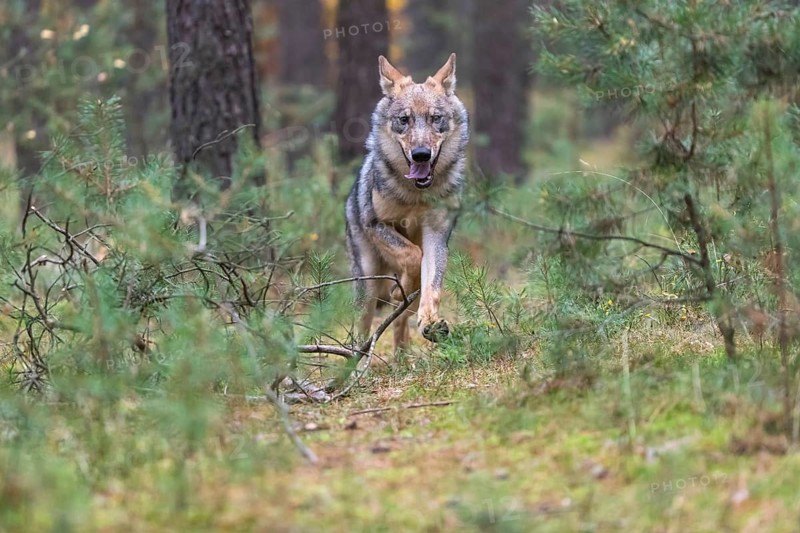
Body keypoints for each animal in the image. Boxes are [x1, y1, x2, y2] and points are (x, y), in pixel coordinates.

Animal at [345, 53, 469, 352]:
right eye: (404, 119)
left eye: (435, 118)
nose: (421, 154)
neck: (416, 195)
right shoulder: (375, 224)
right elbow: (411, 255)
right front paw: (402, 285)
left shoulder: (437, 236)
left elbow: (431, 287)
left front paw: (430, 323)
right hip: (366, 282)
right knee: (363, 328)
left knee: (400, 320)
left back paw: (402, 354)